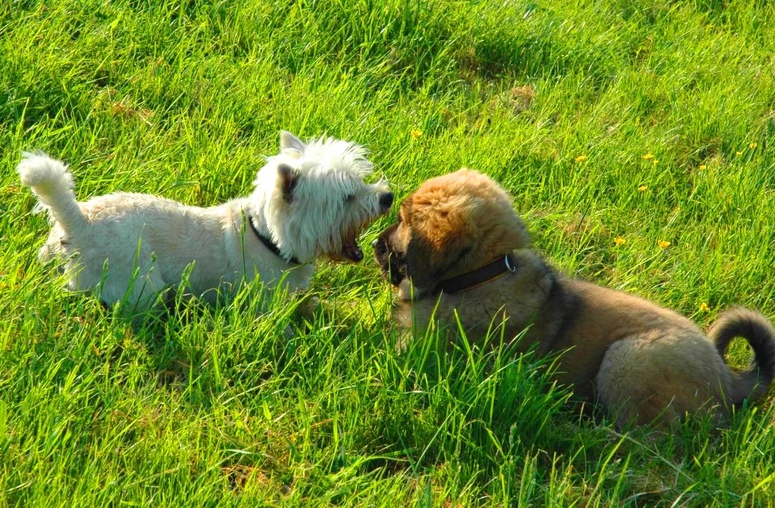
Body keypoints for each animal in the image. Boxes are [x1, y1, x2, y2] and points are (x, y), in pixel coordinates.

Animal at [18, 132, 394, 310]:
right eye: (347, 196)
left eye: (361, 181)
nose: (387, 197)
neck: (268, 238)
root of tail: (78, 222)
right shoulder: (261, 304)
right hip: (140, 284)